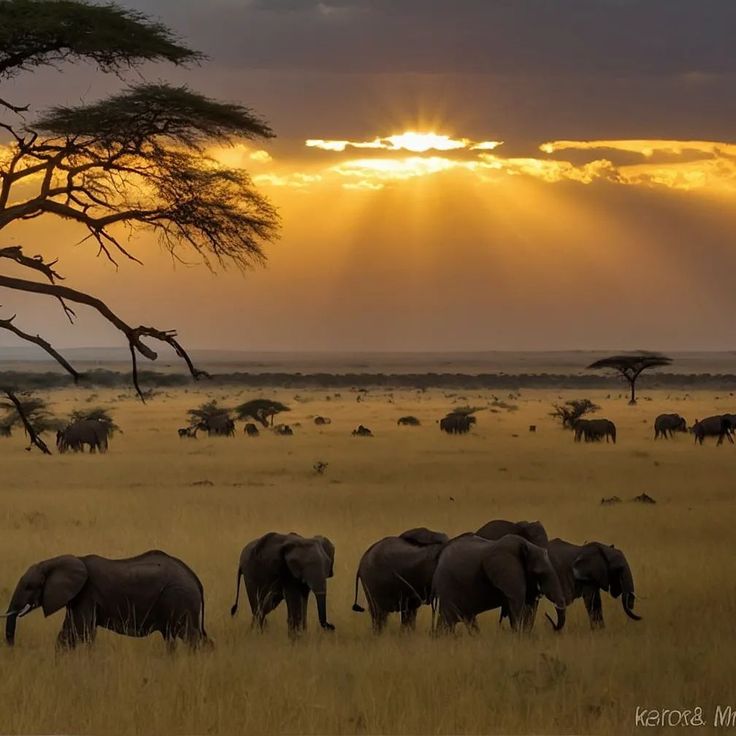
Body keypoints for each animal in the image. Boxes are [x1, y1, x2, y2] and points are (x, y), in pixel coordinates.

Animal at [2, 552, 210, 648]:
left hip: (180, 599)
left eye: (29, 586)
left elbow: (77, 632)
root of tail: (196, 579)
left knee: (190, 636)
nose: (13, 648)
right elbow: (72, 632)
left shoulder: (86, 593)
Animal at [432, 536, 564, 632]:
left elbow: (530, 608)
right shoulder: (512, 577)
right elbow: (517, 607)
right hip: (448, 586)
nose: (548, 615)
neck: (528, 546)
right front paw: (517, 636)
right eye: (539, 573)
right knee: (448, 620)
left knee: (467, 619)